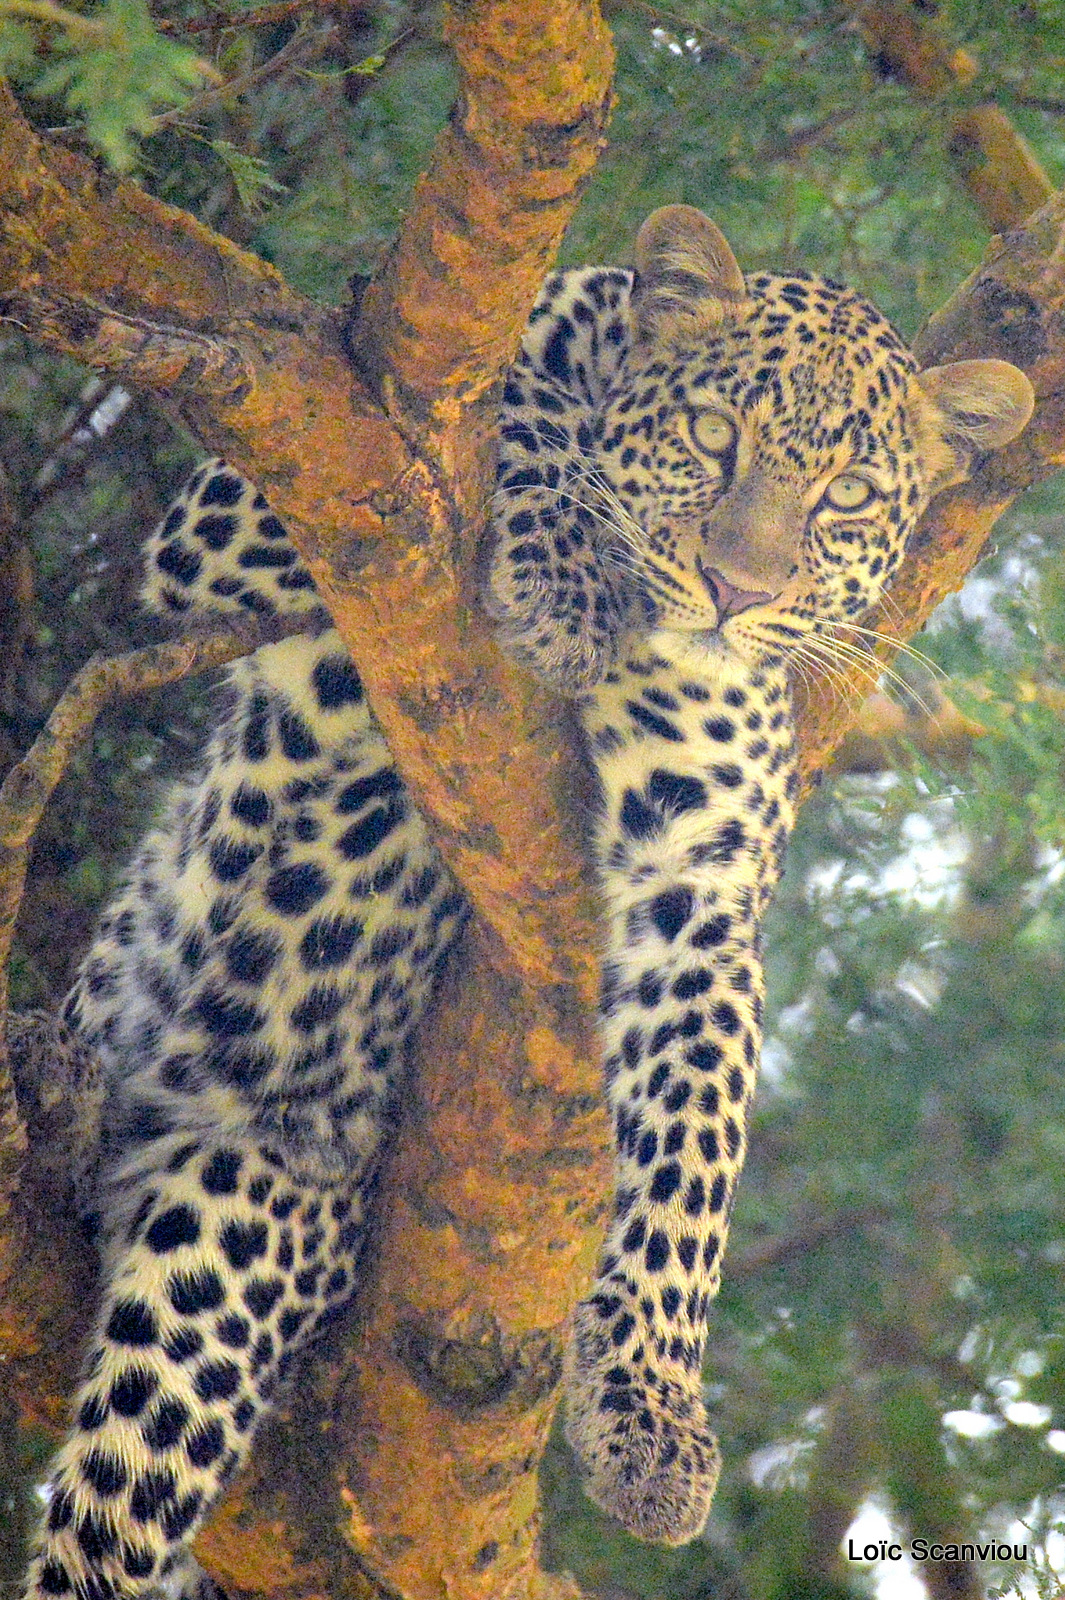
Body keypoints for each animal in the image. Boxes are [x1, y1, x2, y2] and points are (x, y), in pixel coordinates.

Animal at [18, 203, 1029, 1600]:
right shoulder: (233, 519)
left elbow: (696, 1163)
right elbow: (525, 421)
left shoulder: (698, 882)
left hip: (238, 1219)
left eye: (848, 498)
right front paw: (561, 574)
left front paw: (653, 1415)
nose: (738, 591)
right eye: (712, 436)